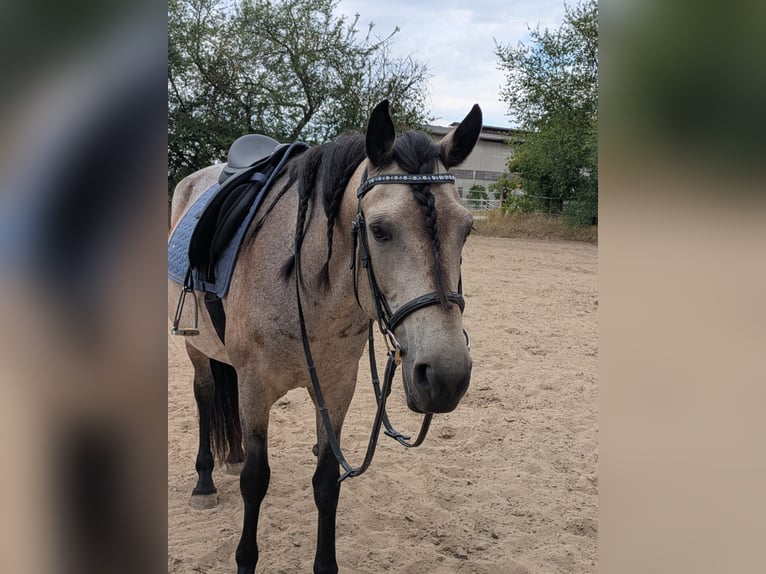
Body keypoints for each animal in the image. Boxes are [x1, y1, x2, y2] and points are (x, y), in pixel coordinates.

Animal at [168, 100, 482, 574]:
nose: (445, 377)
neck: (305, 285)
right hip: (197, 347)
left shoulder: (336, 388)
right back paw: (204, 481)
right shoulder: (255, 388)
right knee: (205, 397)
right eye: (379, 230)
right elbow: (255, 480)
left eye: (466, 229)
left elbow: (327, 481)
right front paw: (245, 559)